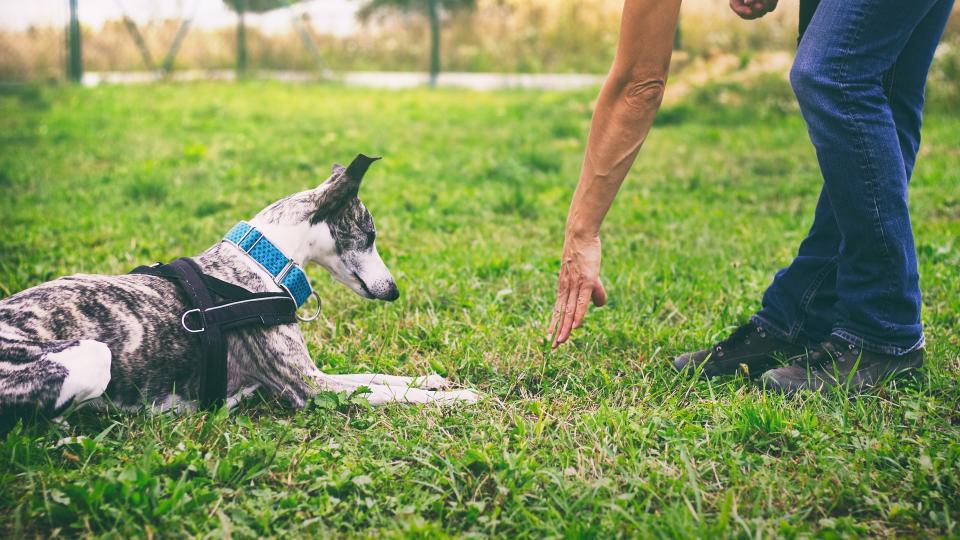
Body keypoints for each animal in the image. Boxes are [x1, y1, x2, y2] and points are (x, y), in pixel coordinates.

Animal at [0, 153, 480, 426]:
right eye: (371, 234)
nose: (394, 291)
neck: (261, 261)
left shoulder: (316, 374)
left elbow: (375, 376)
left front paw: (433, 380)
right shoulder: (308, 387)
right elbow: (391, 393)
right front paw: (459, 399)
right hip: (91, 357)